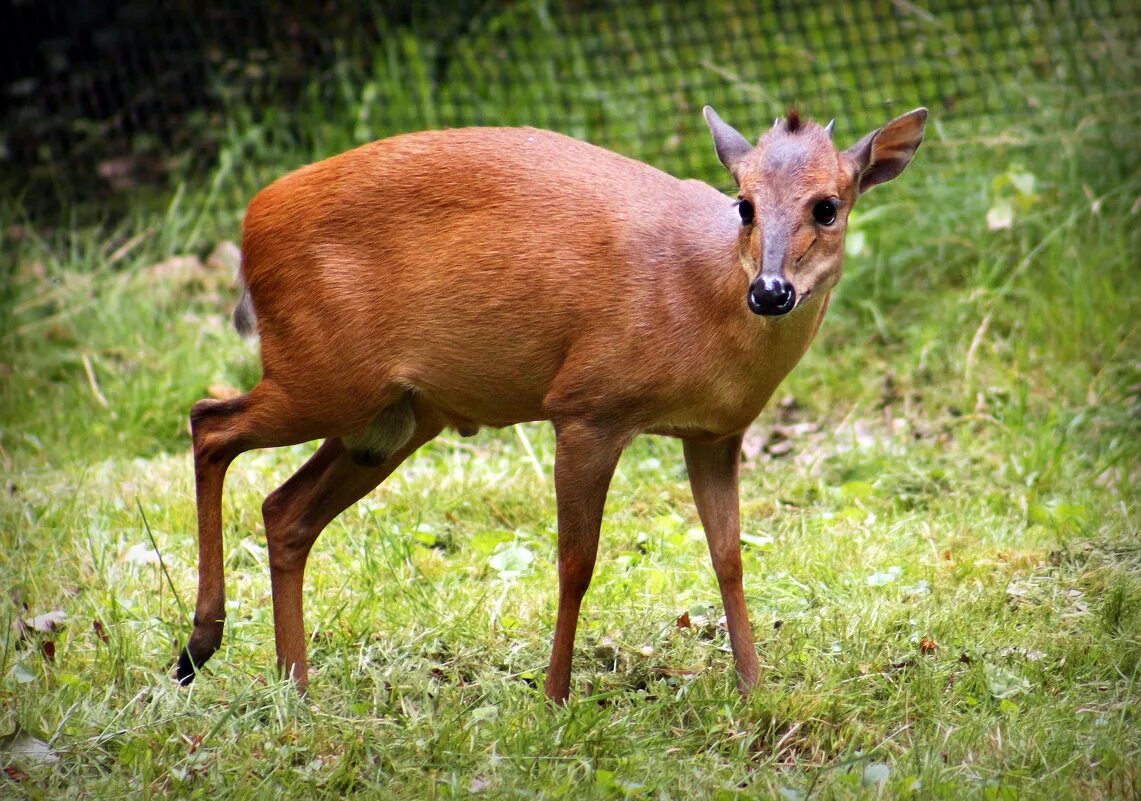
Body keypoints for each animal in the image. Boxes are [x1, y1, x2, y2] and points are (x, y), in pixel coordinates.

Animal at [177, 106, 926, 702]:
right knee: (209, 423)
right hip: (322, 377)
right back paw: (201, 644)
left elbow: (728, 558)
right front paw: (556, 695)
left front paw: (753, 687)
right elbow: (576, 564)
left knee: (284, 510)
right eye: (743, 203)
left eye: (827, 205)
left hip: (392, 419)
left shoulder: (715, 434)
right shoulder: (587, 407)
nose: (770, 291)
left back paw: (292, 685)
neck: (700, 301)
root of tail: (252, 223)